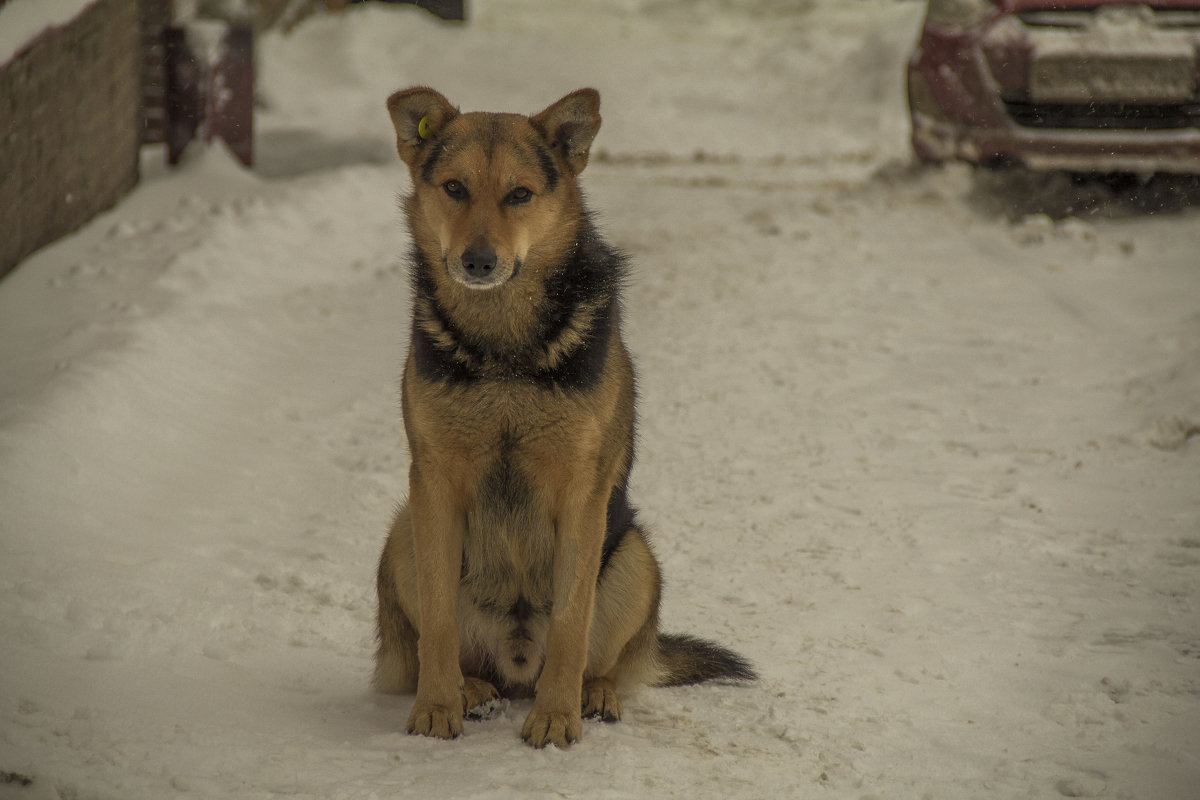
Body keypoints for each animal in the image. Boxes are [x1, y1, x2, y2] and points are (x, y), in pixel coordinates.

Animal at [369, 84, 753, 748]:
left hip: (636, 559)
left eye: (520, 194)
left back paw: (591, 694)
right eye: (454, 188)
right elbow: (438, 624)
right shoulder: (434, 484)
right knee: (447, 647)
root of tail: (516, 662)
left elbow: (573, 625)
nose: (477, 262)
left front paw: (556, 717)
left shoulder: (581, 491)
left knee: (605, 661)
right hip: (402, 535)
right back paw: (473, 690)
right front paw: (437, 706)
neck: (503, 350)